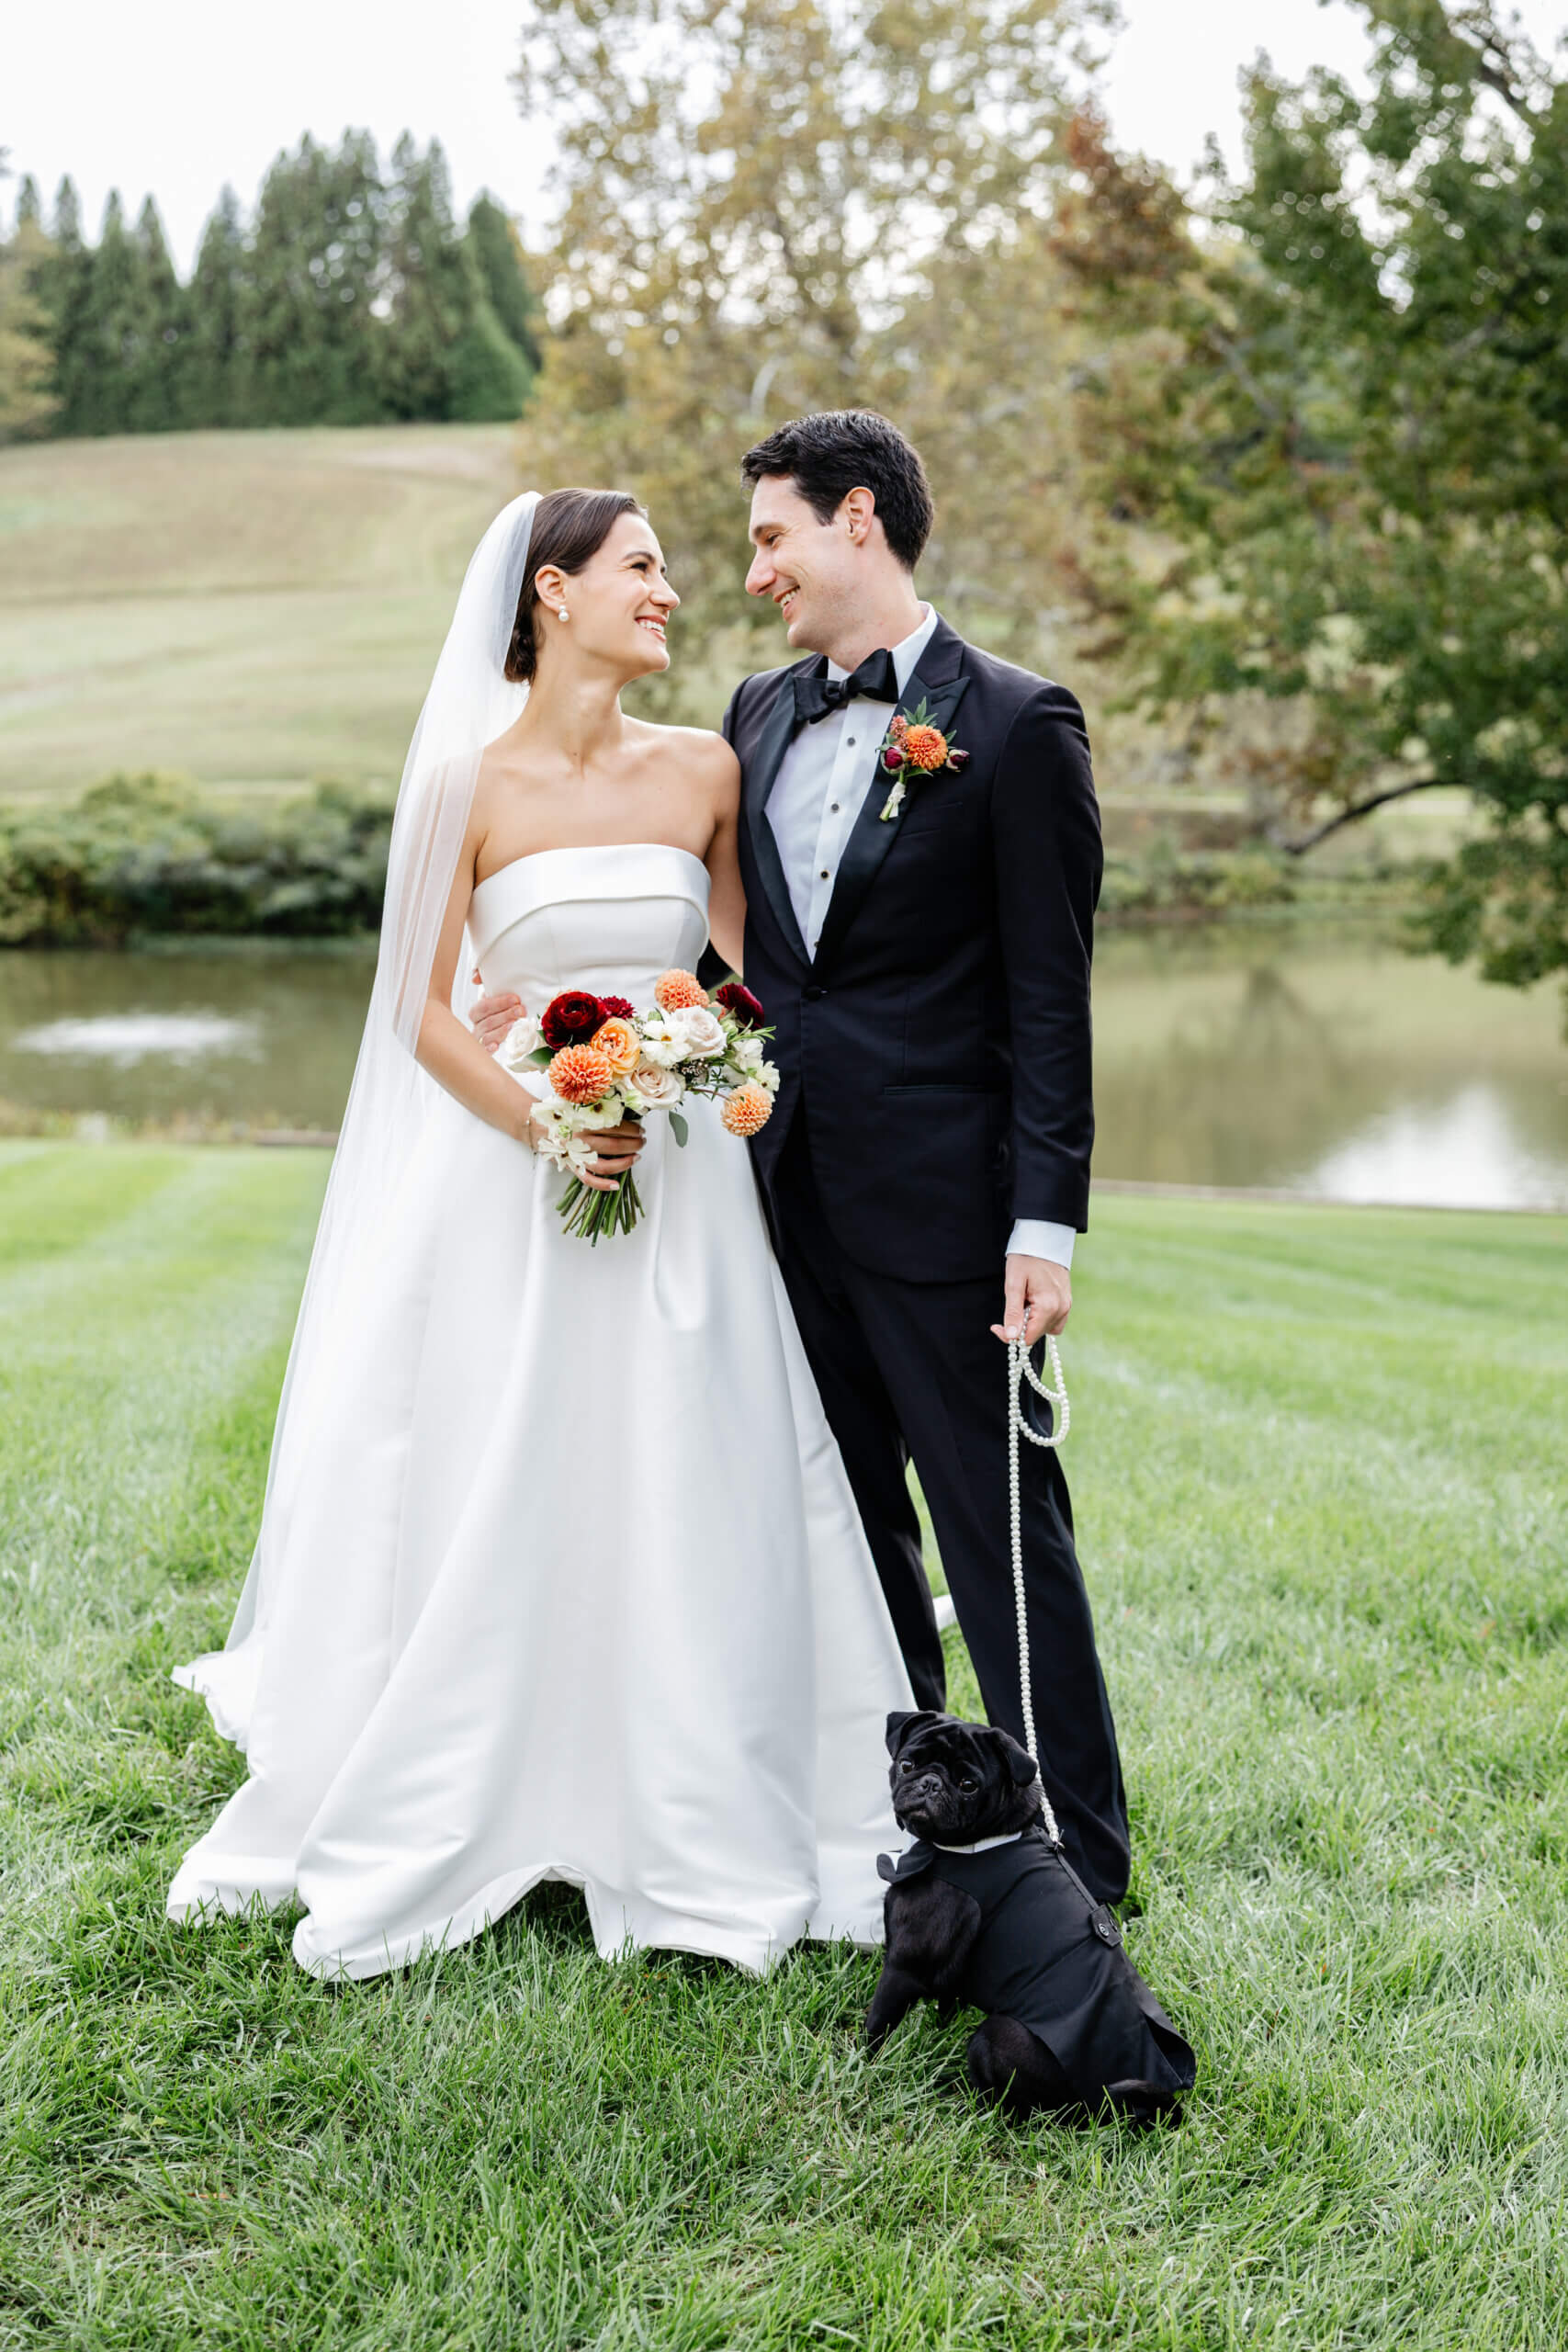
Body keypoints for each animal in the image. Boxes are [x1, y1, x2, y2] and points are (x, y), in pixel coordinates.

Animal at [866, 1711, 1196, 2127]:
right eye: (907, 1764)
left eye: (969, 1786)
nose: (930, 1783)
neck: (980, 1842)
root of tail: (1109, 2105)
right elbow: (946, 2002)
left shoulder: (904, 1966)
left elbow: (877, 2023)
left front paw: (862, 2065)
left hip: (995, 2037)